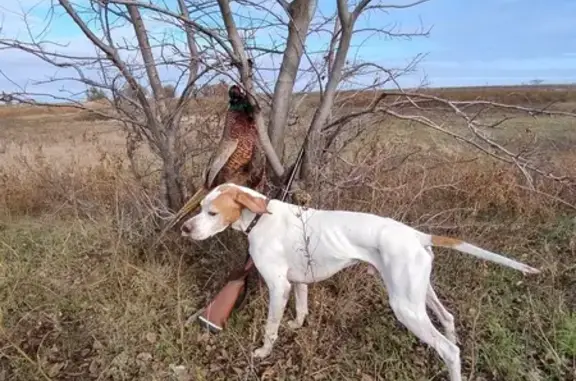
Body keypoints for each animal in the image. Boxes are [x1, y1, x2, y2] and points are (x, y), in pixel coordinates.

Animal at [182, 183, 544, 378]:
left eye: (211, 213)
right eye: (200, 208)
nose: (185, 228)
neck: (259, 218)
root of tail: (418, 235)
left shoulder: (278, 287)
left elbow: (271, 327)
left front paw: (263, 352)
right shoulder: (297, 282)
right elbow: (301, 309)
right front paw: (296, 326)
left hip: (405, 307)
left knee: (450, 349)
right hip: (419, 295)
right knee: (449, 320)